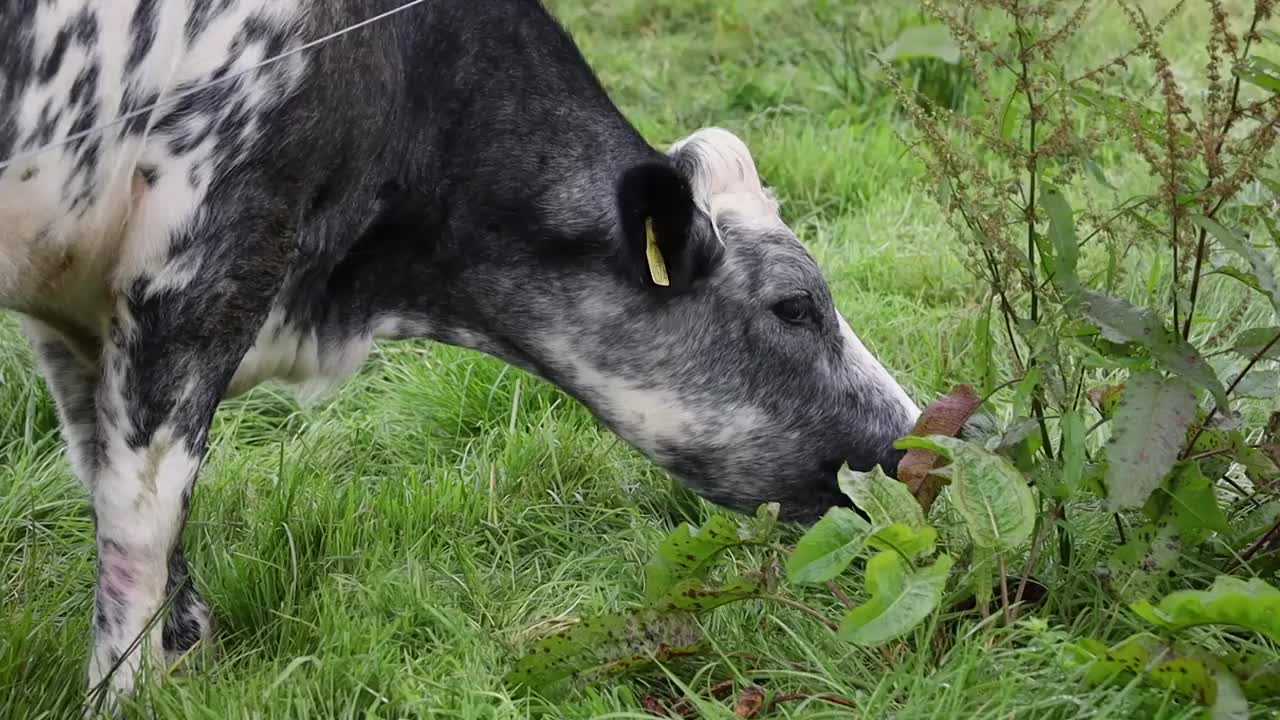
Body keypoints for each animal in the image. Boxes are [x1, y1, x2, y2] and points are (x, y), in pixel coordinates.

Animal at [0, 0, 921, 707]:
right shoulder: (197, 272)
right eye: (796, 306)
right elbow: (142, 525)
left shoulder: (81, 316)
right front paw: (126, 692)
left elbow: (118, 494)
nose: (917, 442)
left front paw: (184, 657)